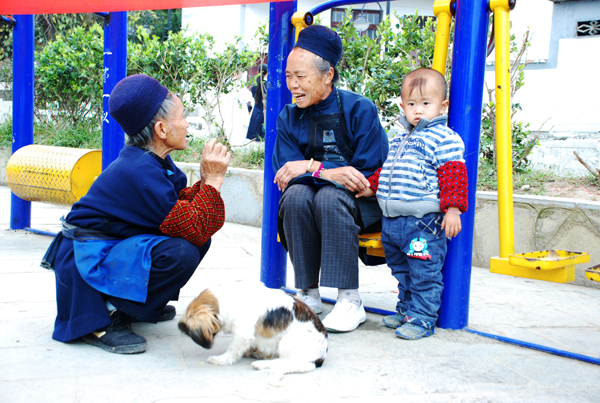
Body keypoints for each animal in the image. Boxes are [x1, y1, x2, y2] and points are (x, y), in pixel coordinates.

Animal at [178, 282, 328, 384]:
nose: (180, 327)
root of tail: (320, 358)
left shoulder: (242, 334)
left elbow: (232, 350)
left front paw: (220, 360)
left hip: (289, 339)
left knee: (287, 362)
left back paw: (260, 363)